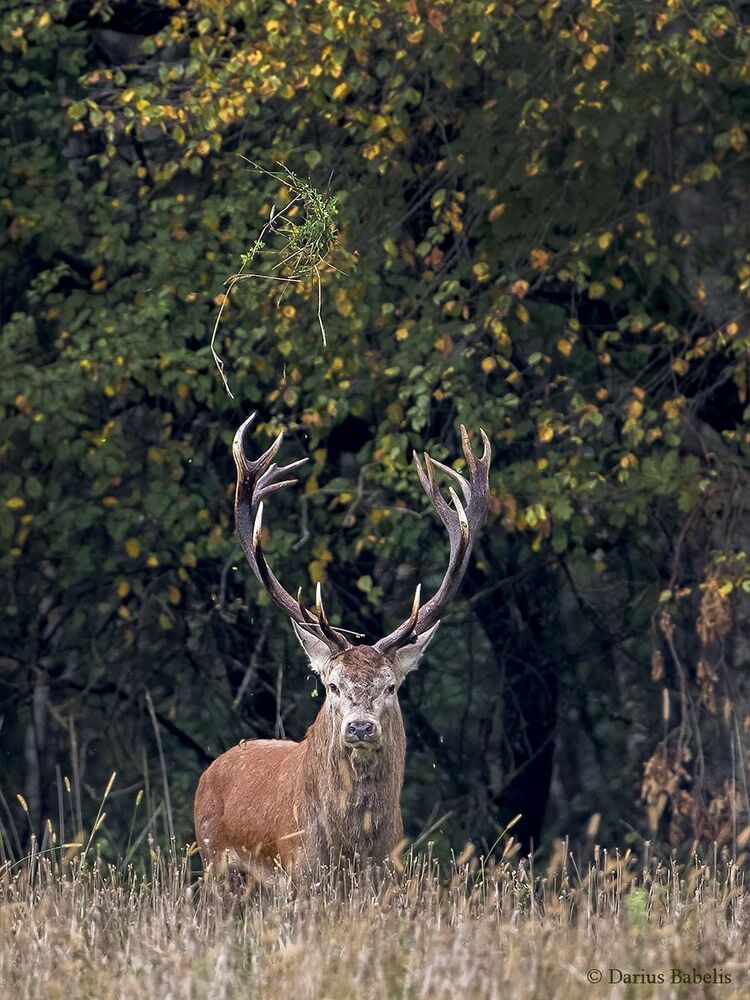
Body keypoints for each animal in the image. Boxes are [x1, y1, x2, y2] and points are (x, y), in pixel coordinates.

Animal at [194, 413, 491, 873]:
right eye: (333, 685)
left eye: (391, 686)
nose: (360, 726)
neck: (352, 849)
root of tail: (211, 771)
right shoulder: (299, 871)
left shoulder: (389, 872)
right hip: (213, 859)